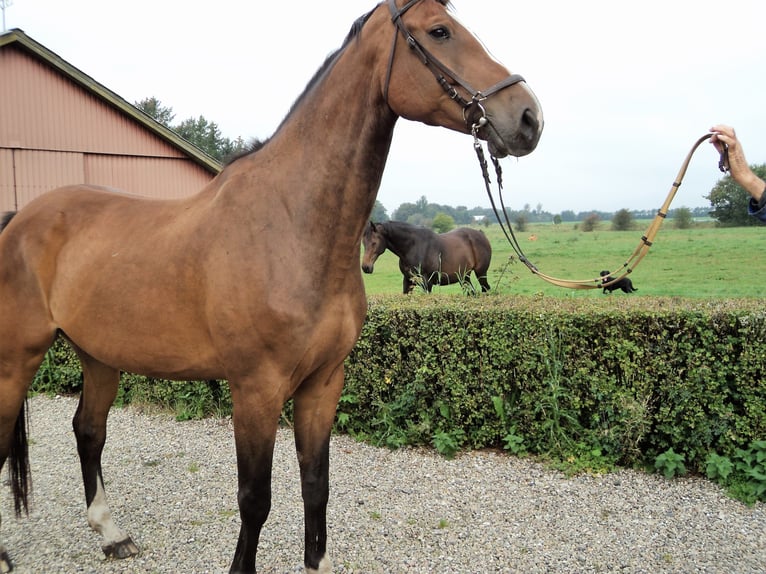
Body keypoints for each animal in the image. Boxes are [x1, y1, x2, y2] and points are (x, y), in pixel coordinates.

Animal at [364, 219, 496, 292]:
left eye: (374, 243)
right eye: (363, 243)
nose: (365, 267)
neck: (413, 246)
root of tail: (480, 234)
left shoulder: (427, 283)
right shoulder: (408, 281)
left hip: (481, 273)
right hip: (464, 277)